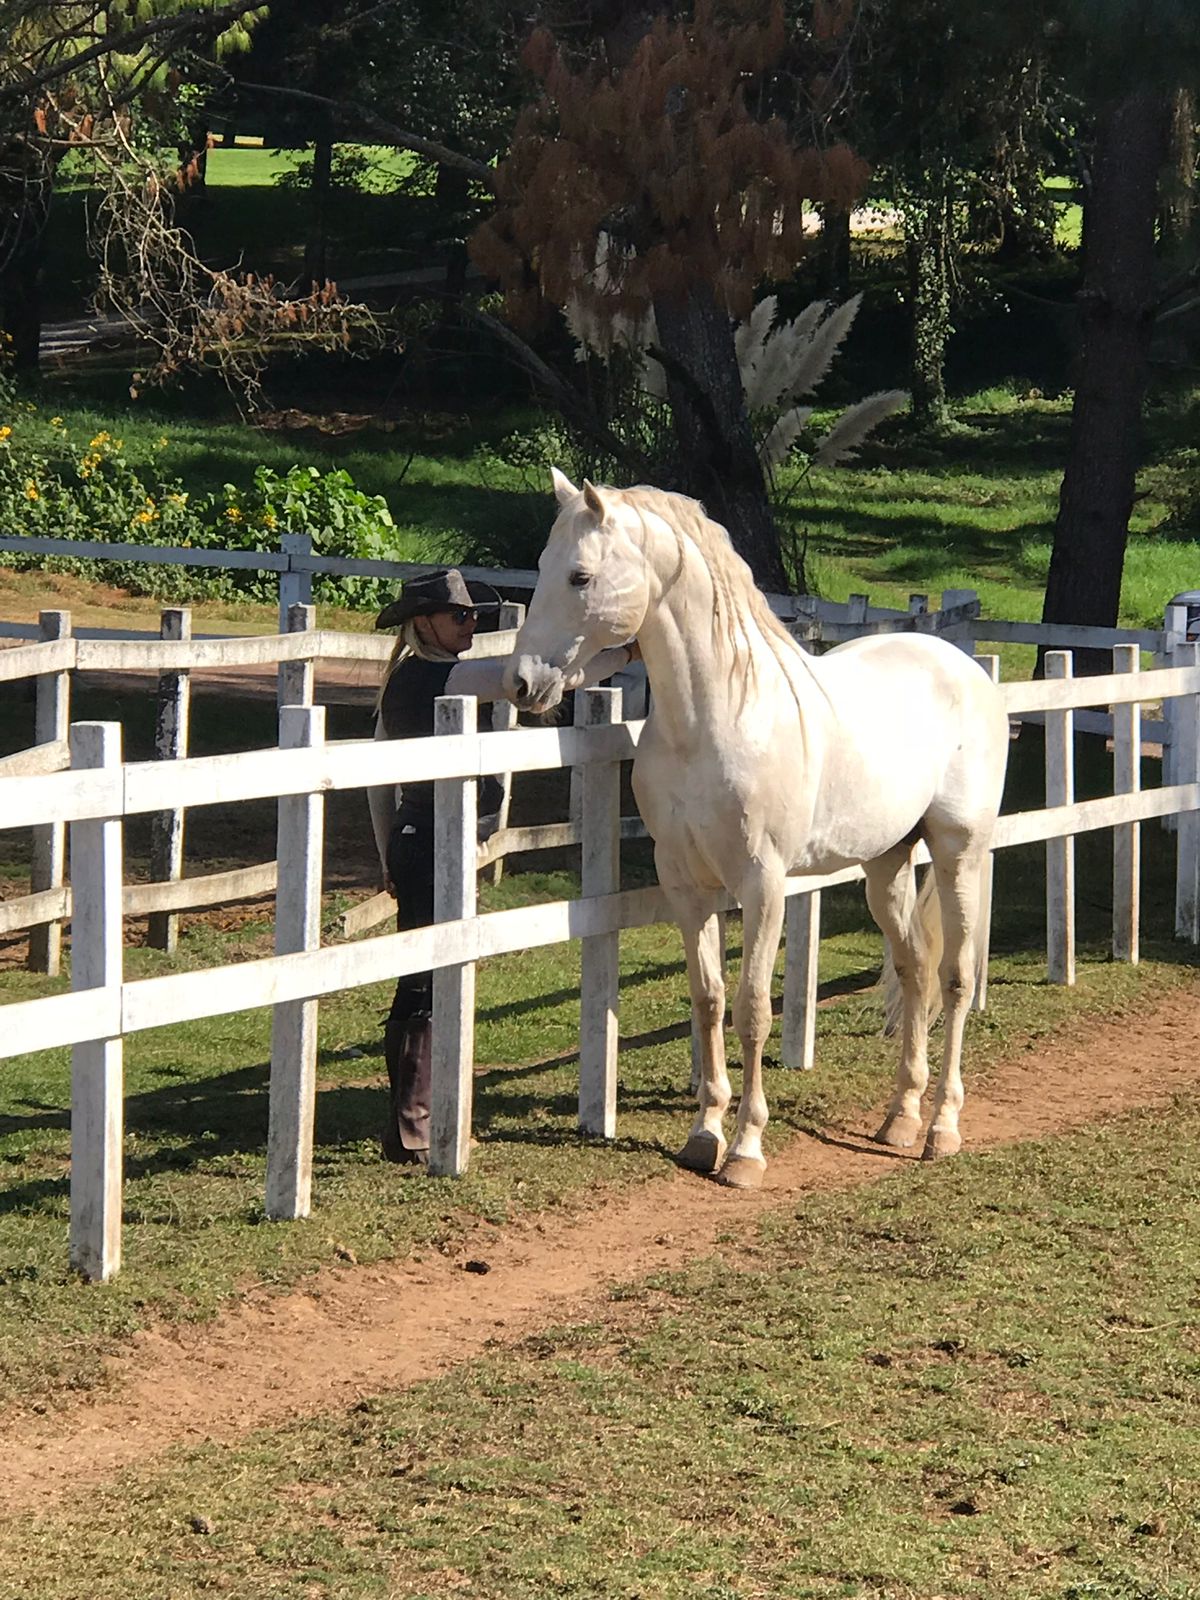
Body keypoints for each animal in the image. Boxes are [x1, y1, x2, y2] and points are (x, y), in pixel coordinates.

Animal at [502, 473, 1011, 1190]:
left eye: (580, 576)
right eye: (543, 568)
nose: (520, 683)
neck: (718, 718)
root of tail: (966, 667)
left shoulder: (763, 884)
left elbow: (752, 1009)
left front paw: (745, 1149)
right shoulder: (687, 885)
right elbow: (709, 1000)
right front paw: (703, 1135)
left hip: (958, 850)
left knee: (956, 978)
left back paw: (941, 1127)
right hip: (886, 863)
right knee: (914, 969)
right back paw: (901, 1117)